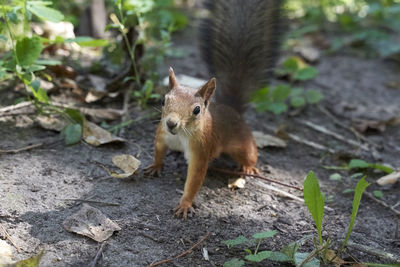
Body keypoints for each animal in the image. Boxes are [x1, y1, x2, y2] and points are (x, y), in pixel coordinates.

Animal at [145, 0, 282, 220]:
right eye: (164, 100)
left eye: (197, 110)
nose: (171, 123)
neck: (180, 136)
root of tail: (231, 109)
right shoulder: (161, 135)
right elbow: (158, 151)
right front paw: (156, 166)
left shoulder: (201, 148)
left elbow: (195, 178)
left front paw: (185, 204)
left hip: (242, 142)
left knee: (250, 154)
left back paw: (248, 167)